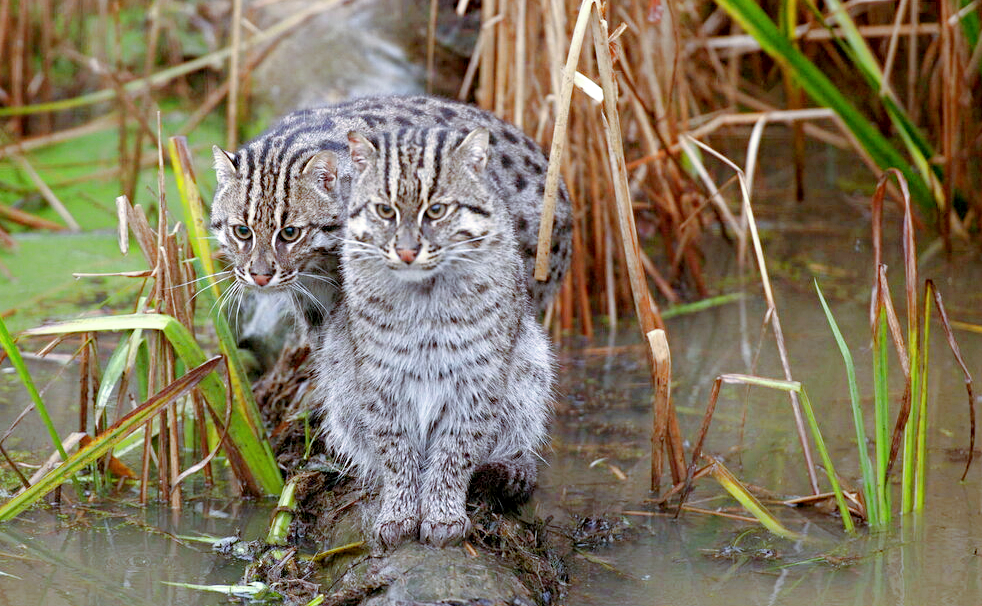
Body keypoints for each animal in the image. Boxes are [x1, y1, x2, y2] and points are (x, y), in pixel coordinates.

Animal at [320, 126, 556, 548]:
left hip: (532, 366)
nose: (407, 251)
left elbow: (456, 451)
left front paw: (443, 512)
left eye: (436, 211)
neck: (423, 295)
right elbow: (396, 452)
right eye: (385, 211)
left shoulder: (477, 377)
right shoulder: (380, 379)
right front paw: (399, 512)